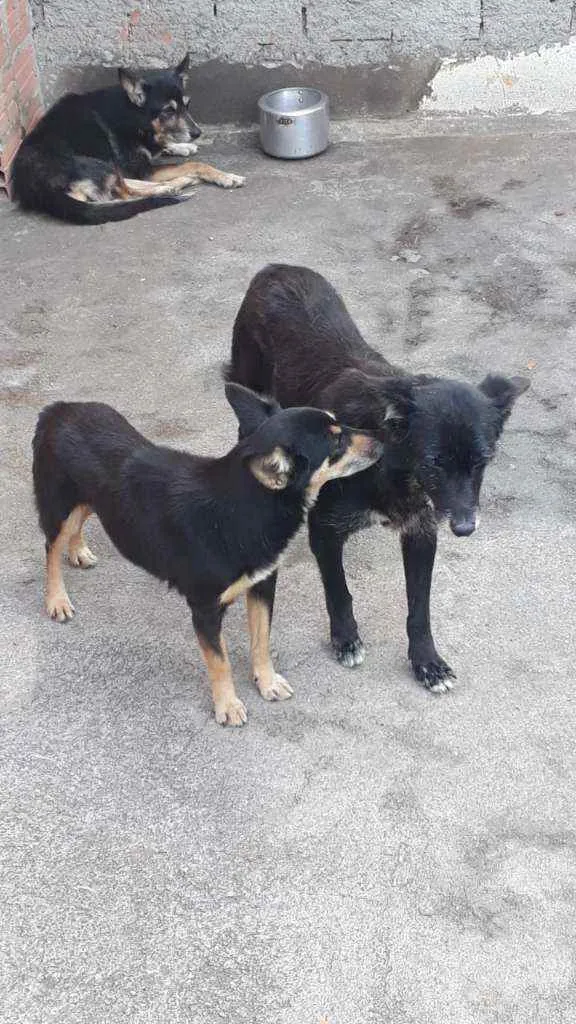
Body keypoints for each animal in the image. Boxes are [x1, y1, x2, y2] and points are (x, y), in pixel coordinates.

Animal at [11, 52, 241, 225]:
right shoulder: (145, 169)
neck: (133, 115)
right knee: (125, 193)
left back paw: (174, 184)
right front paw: (226, 176)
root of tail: (35, 188)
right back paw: (171, 186)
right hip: (94, 163)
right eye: (168, 111)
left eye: (187, 104)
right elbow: (194, 164)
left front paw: (181, 146)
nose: (197, 133)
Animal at [31, 385, 381, 729]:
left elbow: (261, 641)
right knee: (51, 549)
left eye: (340, 424)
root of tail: (58, 408)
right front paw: (227, 705)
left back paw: (77, 550)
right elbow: (220, 662)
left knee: (78, 522)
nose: (383, 438)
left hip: (90, 501)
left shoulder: (262, 585)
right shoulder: (205, 609)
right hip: (59, 509)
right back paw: (57, 599)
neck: (245, 507)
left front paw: (266, 682)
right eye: (336, 441)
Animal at [224, 264, 528, 696]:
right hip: (250, 396)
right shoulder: (325, 528)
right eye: (434, 461)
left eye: (483, 461)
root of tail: (275, 268)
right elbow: (339, 591)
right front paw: (346, 639)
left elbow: (419, 608)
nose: (465, 528)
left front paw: (427, 662)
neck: (391, 468)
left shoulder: (421, 532)